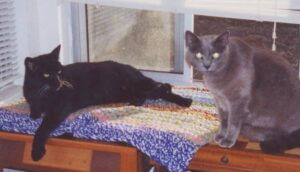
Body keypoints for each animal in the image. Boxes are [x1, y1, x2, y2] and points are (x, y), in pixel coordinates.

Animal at [23, 45, 192, 161]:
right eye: (46, 74)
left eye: (59, 71)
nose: (59, 81)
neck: (42, 94)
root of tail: (134, 69)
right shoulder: (34, 103)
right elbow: (34, 112)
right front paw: (35, 111)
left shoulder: (59, 109)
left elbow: (42, 128)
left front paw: (36, 151)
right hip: (127, 91)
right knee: (156, 90)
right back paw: (139, 101)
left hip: (134, 85)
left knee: (162, 89)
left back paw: (185, 101)